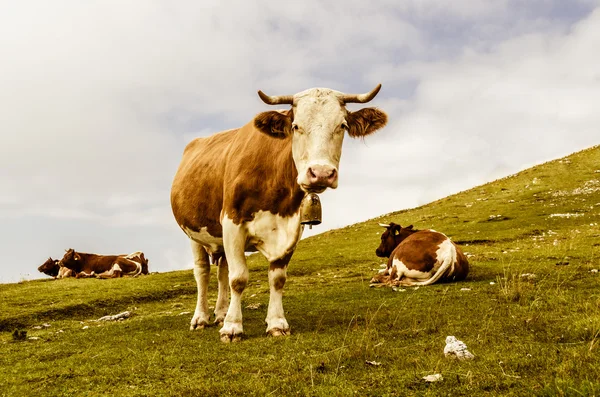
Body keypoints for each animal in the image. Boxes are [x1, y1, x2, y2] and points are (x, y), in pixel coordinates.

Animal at [171, 85, 386, 342]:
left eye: (342, 125)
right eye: (296, 126)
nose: (321, 173)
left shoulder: (292, 228)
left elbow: (277, 278)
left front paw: (276, 323)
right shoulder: (232, 223)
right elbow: (238, 278)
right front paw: (233, 327)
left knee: (222, 270)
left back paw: (221, 313)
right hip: (193, 234)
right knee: (203, 273)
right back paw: (201, 318)